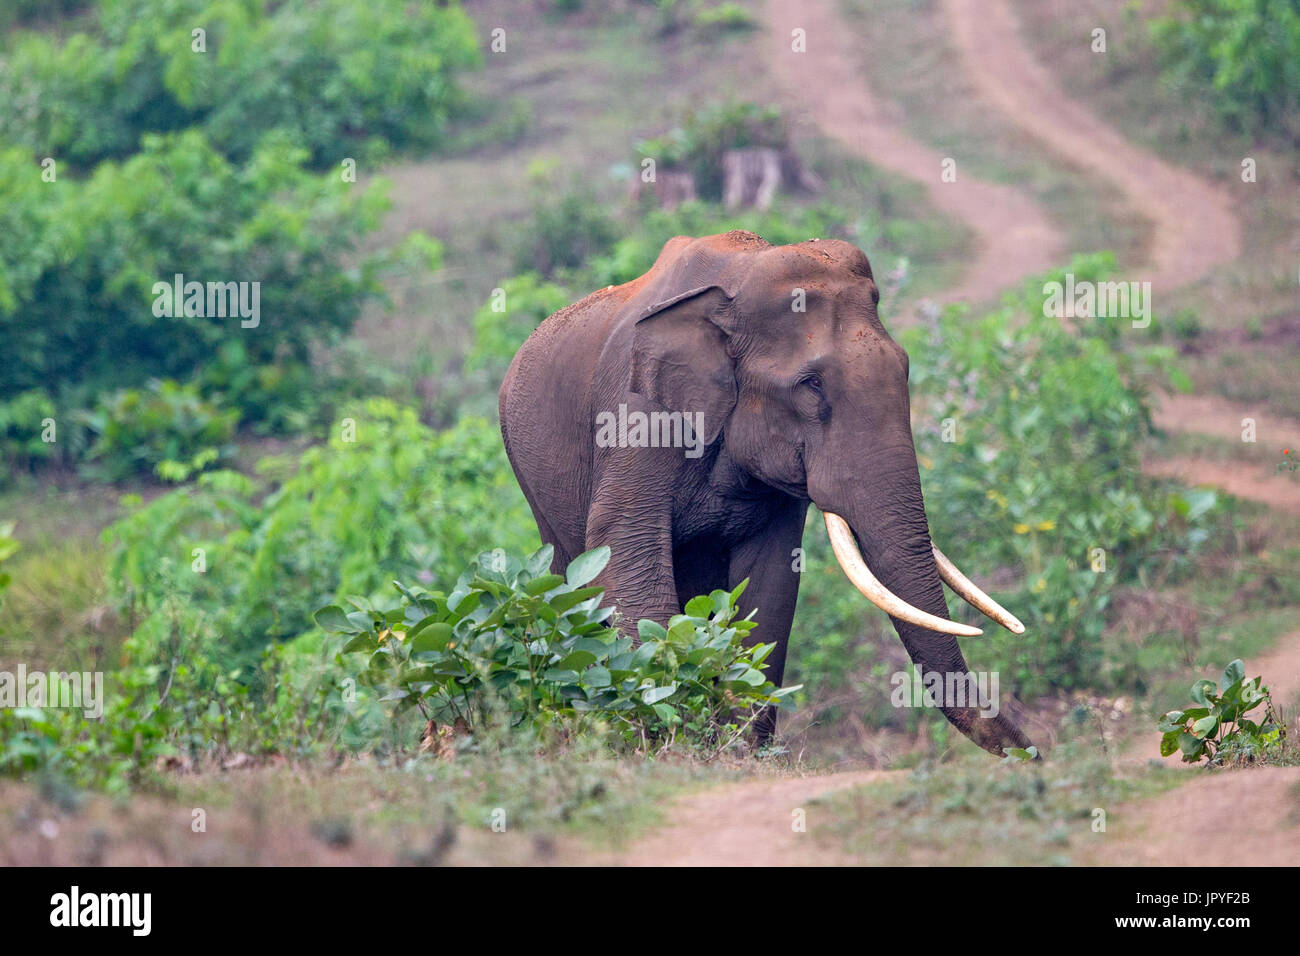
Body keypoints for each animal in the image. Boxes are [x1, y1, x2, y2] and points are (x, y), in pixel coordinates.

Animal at [498, 230, 1034, 756]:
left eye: (905, 368)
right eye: (811, 386)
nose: (1031, 751)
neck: (736, 282)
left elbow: (771, 581)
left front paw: (738, 749)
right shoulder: (637, 415)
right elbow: (626, 553)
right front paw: (679, 742)